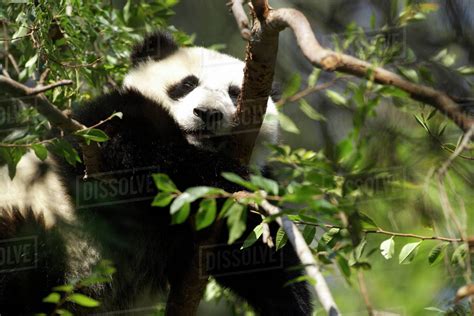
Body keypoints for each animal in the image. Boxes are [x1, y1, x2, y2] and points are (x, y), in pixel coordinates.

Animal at [0, 31, 312, 314]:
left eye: (235, 93)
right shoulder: (98, 130)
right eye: (187, 84)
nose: (207, 113)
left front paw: (293, 303)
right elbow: (141, 151)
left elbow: (259, 255)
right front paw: (224, 176)